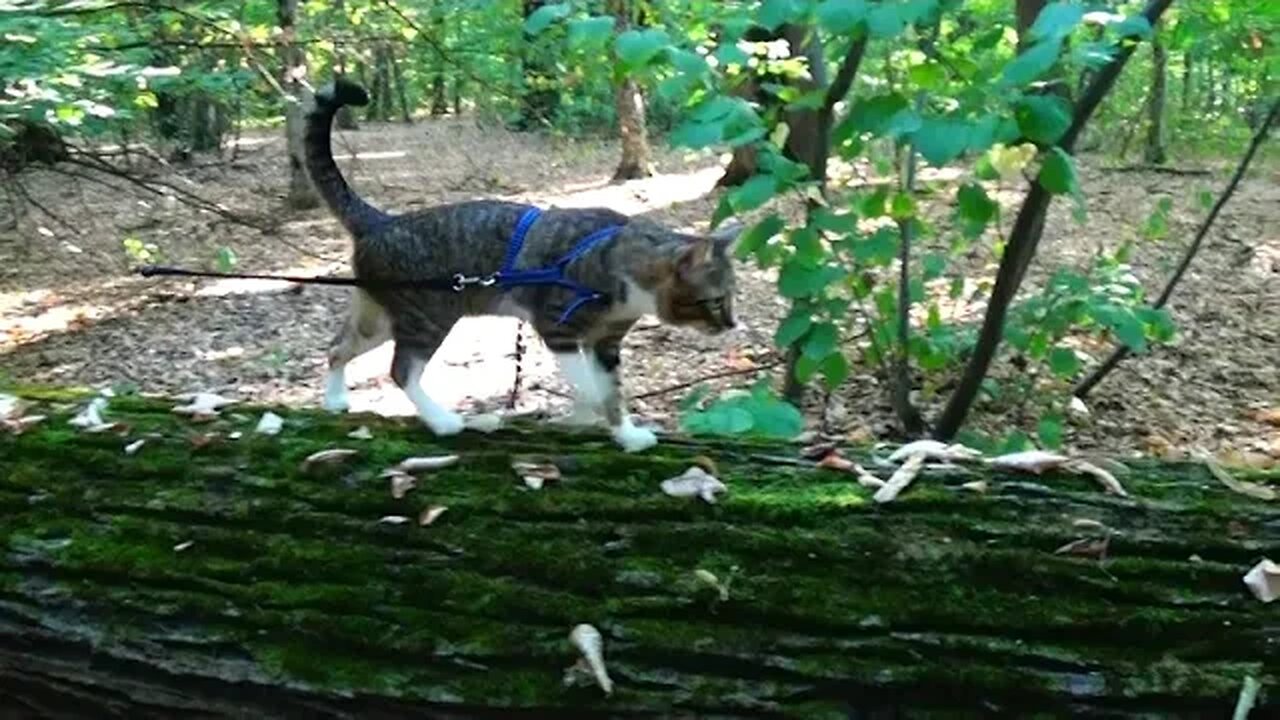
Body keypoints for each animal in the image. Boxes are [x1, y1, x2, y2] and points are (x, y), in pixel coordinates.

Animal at [303, 78, 742, 448]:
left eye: (731, 298)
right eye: (715, 300)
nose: (732, 324)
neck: (618, 264)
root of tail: (381, 221)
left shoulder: (606, 342)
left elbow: (612, 389)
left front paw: (627, 435)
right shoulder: (557, 326)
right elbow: (591, 390)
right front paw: (588, 413)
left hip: (379, 314)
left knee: (338, 347)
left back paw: (335, 398)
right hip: (427, 314)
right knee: (402, 370)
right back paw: (442, 421)